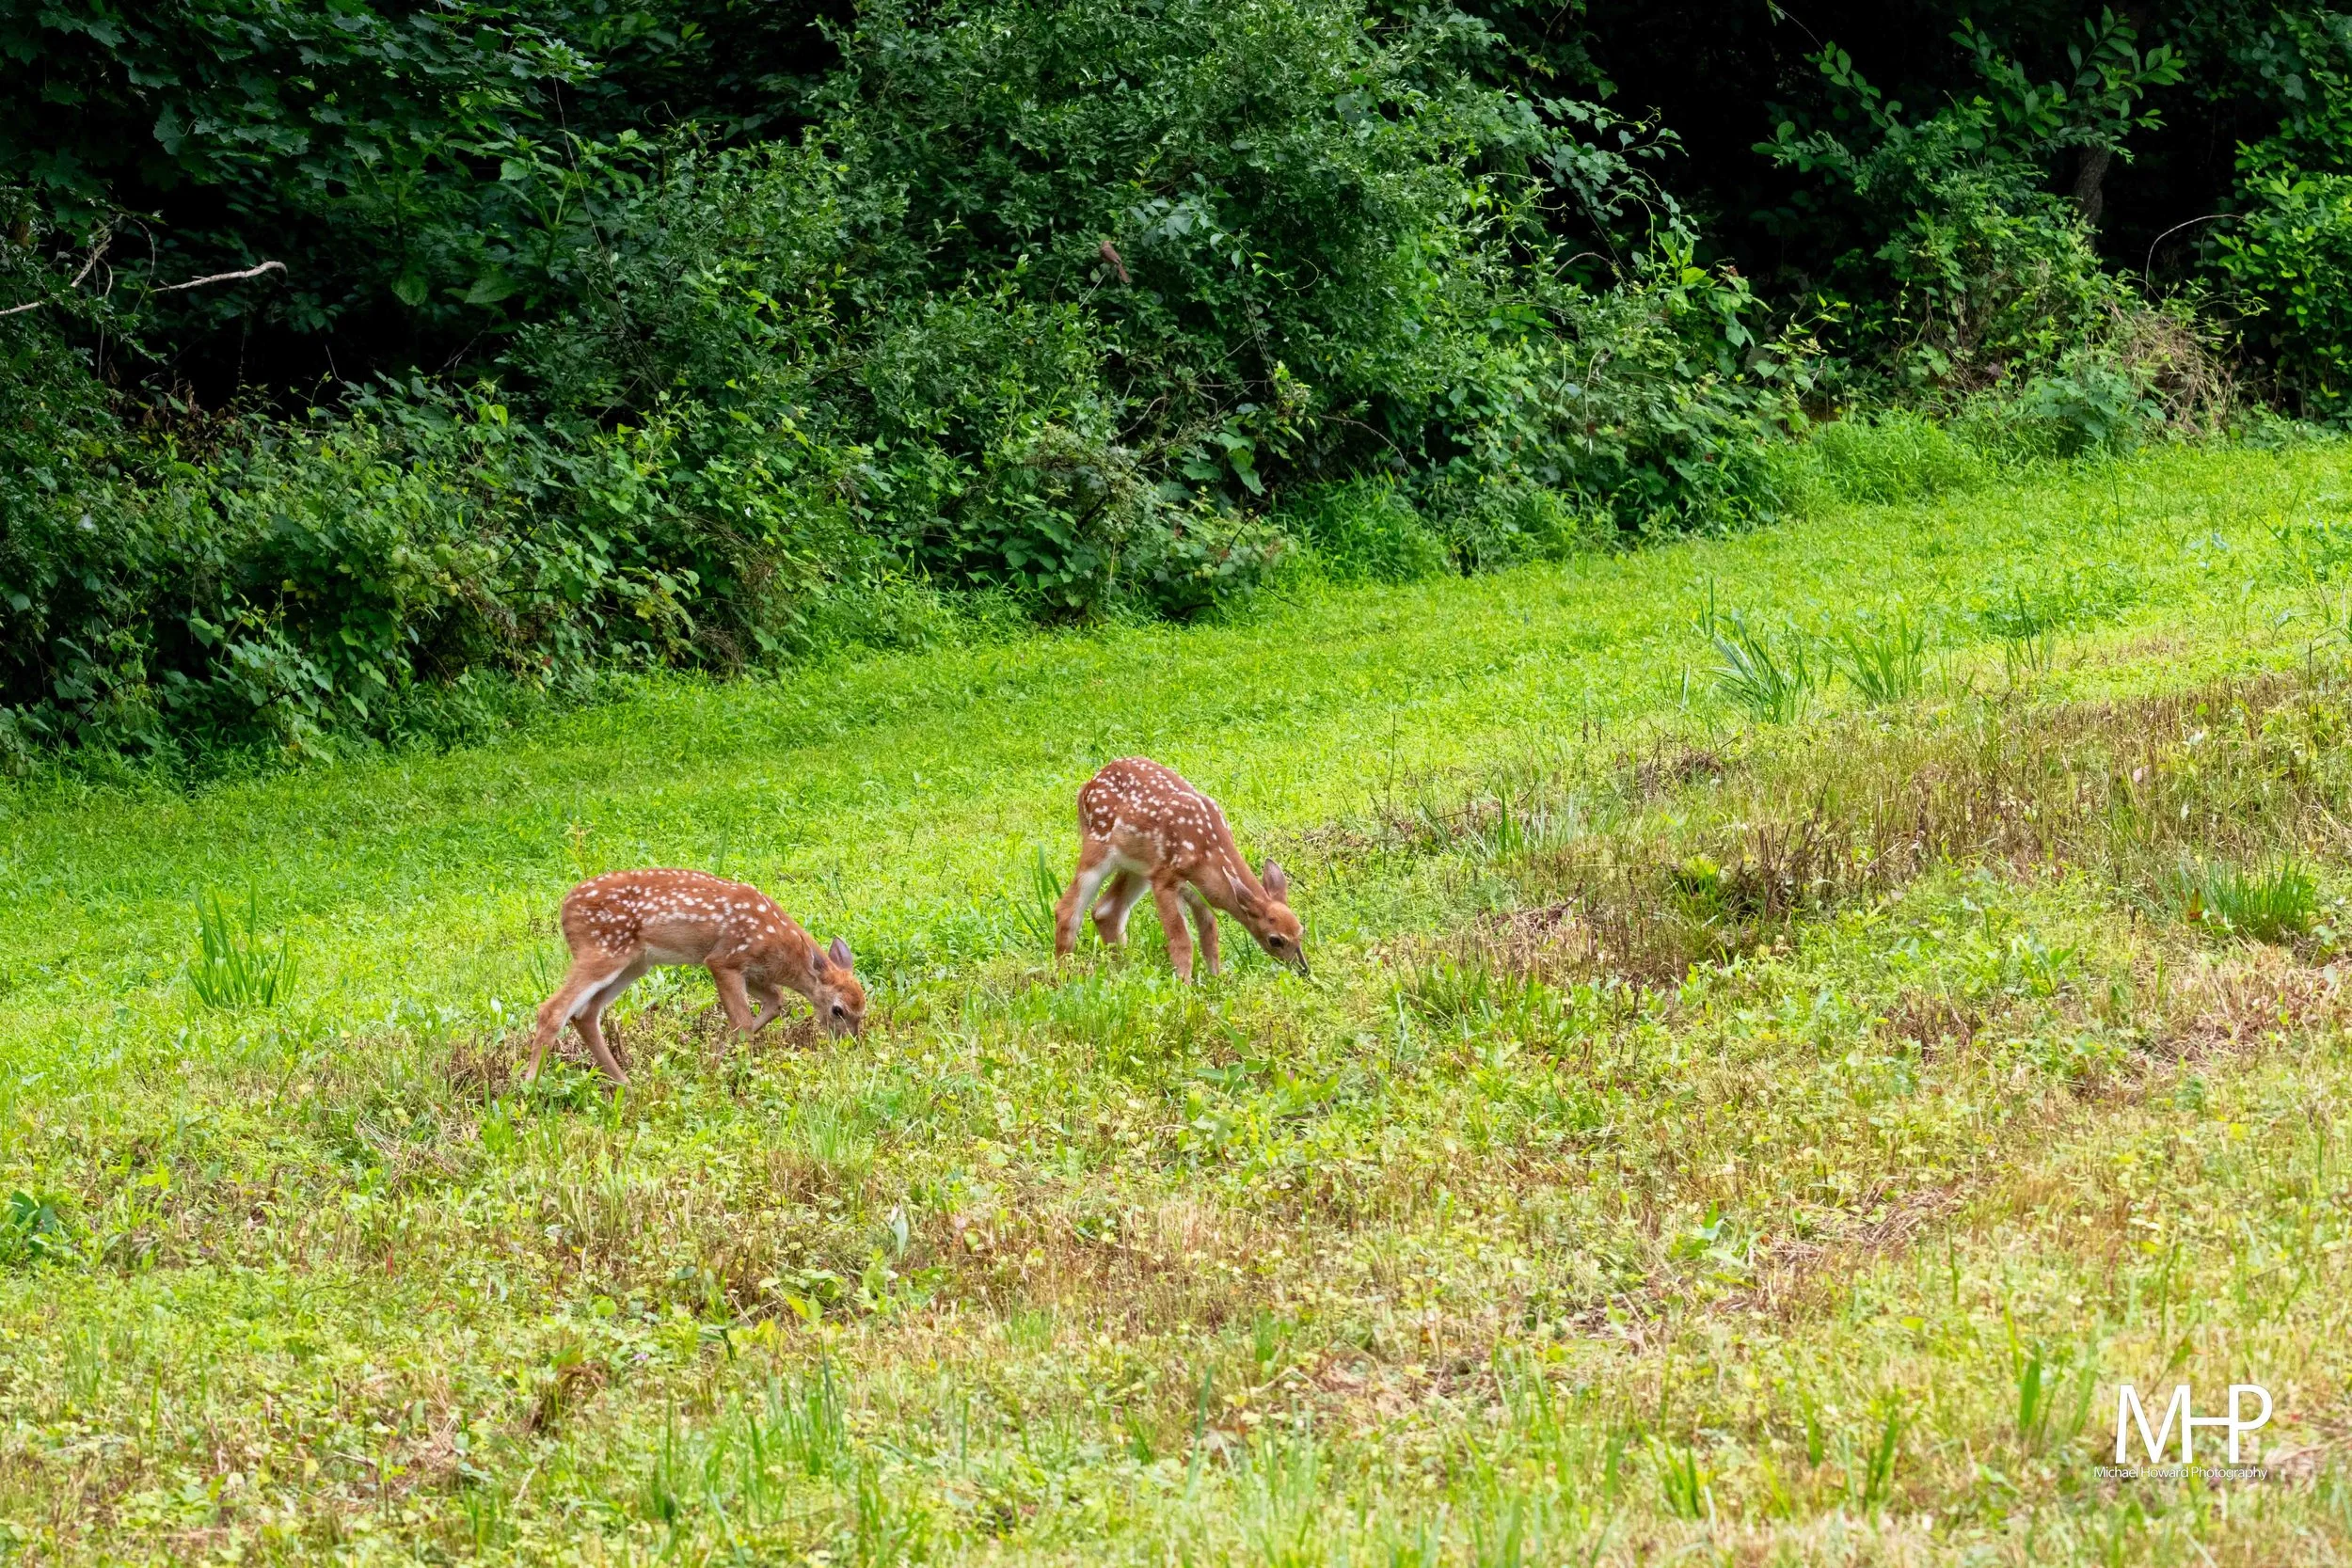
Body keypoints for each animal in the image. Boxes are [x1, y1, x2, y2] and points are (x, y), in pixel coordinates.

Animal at [524, 869, 865, 1087]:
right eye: (838, 1010)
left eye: (863, 1011)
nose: (848, 1044)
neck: (781, 951)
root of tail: (564, 907)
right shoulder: (724, 959)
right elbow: (743, 1021)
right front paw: (738, 1067)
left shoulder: (754, 973)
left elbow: (776, 1002)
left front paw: (716, 1055)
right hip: (602, 950)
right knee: (553, 1009)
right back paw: (530, 1086)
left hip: (634, 963)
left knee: (585, 1013)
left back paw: (623, 1082)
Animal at [1053, 757, 1307, 981]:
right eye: (1275, 939)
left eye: (1301, 931)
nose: (1303, 969)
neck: (1208, 855)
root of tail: (1085, 787)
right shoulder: (1165, 880)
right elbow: (1182, 941)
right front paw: (1183, 986)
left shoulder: (1199, 895)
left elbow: (1210, 940)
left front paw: (1216, 979)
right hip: (1098, 847)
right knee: (1066, 909)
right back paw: (1064, 974)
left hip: (1138, 868)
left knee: (1105, 910)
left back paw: (1121, 970)